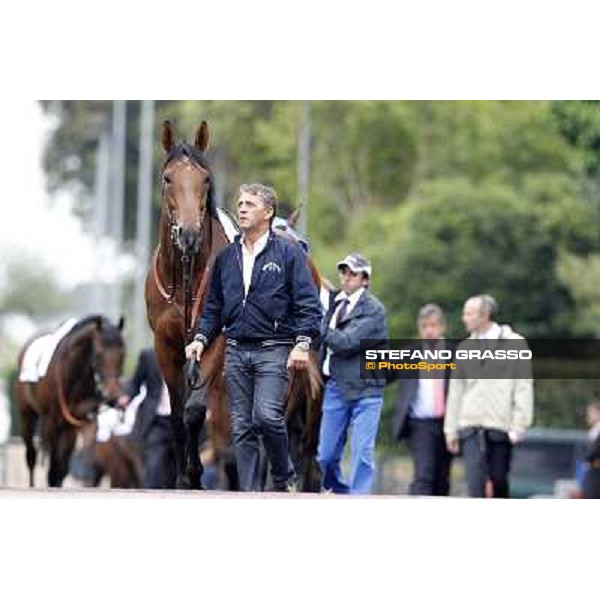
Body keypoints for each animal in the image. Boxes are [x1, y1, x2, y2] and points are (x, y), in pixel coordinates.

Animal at [14, 314, 126, 488]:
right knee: (31, 456)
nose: (114, 396)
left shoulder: (81, 423)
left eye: (123, 354)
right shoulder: (52, 422)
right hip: (27, 415)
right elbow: (53, 469)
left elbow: (67, 467)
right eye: (98, 354)